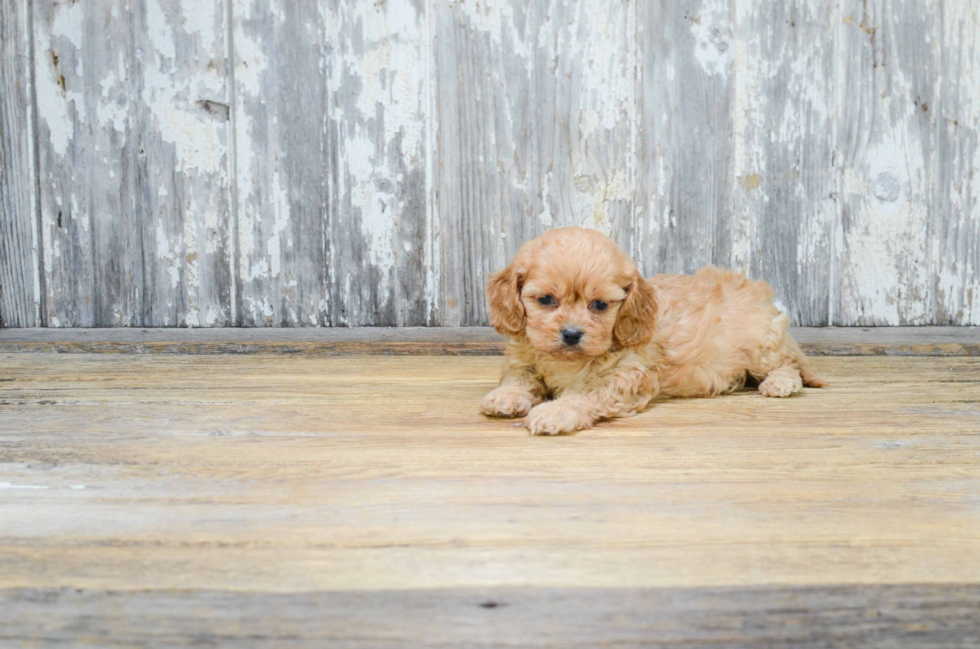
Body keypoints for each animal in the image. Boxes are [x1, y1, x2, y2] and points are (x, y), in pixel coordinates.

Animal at [482, 227, 828, 436]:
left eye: (599, 305)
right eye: (545, 300)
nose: (571, 334)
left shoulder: (626, 375)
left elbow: (586, 394)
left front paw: (556, 411)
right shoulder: (523, 358)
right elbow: (520, 377)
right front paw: (505, 397)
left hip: (761, 346)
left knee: (788, 364)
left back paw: (780, 383)